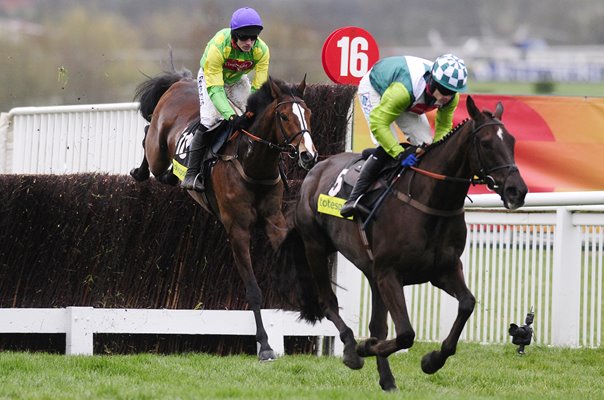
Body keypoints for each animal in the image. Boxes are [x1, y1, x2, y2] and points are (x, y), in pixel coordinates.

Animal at [130, 68, 318, 360]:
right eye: (285, 116)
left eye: (308, 114)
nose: (309, 156)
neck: (252, 164)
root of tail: (179, 82)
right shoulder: (237, 230)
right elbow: (253, 290)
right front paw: (265, 345)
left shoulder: (274, 222)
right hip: (157, 151)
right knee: (148, 138)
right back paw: (142, 171)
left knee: (162, 169)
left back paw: (173, 176)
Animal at [278, 95, 528, 390]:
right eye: (487, 143)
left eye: (512, 141)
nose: (517, 190)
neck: (430, 202)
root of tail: (317, 167)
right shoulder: (389, 274)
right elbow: (406, 333)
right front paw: (364, 348)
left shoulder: (443, 270)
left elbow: (467, 304)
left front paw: (432, 360)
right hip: (316, 247)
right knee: (329, 303)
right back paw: (352, 350)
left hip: (371, 272)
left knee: (377, 325)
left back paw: (387, 379)